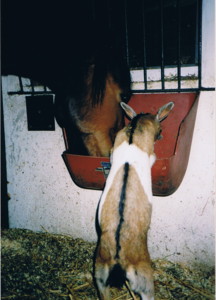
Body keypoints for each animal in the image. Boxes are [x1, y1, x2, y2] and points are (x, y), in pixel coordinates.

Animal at [94, 102, 174, 298]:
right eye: (160, 127)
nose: (161, 135)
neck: (134, 130)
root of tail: (118, 259)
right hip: (144, 278)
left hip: (100, 274)